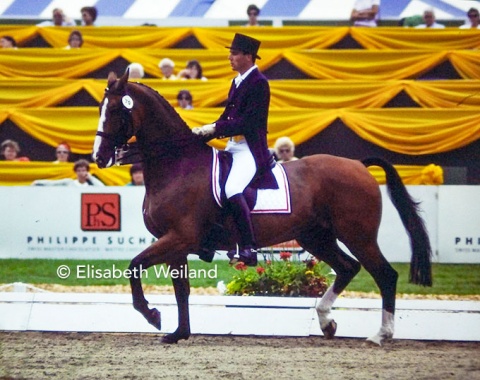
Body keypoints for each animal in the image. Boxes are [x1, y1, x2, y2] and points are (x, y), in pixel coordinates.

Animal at [93, 72, 432, 348]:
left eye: (116, 110)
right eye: (100, 109)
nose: (99, 157)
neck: (177, 165)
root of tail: (358, 165)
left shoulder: (179, 238)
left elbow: (134, 265)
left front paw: (152, 315)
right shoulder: (174, 243)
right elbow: (181, 289)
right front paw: (178, 333)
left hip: (358, 235)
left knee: (385, 274)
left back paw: (381, 334)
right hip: (315, 236)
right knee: (348, 267)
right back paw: (326, 321)